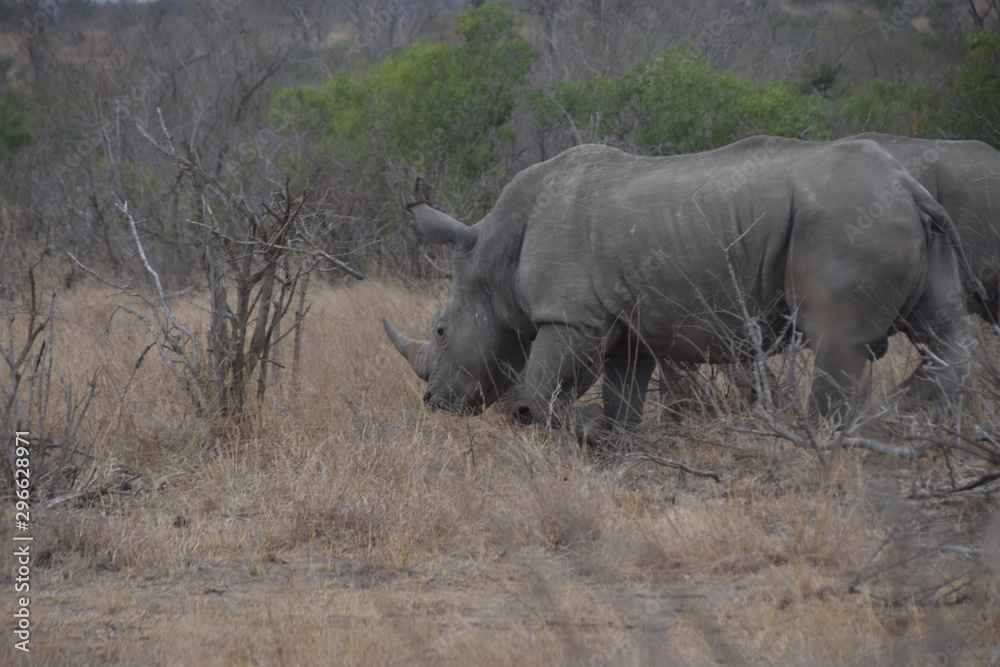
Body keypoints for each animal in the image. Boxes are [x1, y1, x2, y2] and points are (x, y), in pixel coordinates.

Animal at [383, 137, 972, 431]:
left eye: (440, 330)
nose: (434, 402)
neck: (494, 257)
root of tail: (909, 186)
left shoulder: (570, 317)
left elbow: (540, 388)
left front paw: (539, 424)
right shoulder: (626, 324)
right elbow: (623, 395)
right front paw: (608, 441)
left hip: (849, 221)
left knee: (840, 341)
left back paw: (828, 438)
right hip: (904, 224)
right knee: (942, 333)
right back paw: (908, 422)